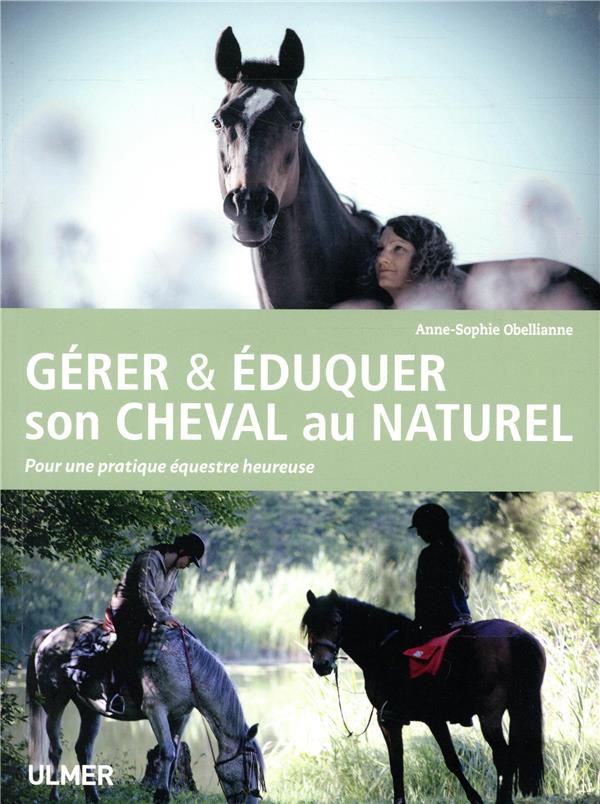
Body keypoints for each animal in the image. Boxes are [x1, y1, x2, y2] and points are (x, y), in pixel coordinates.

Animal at [27, 617, 265, 804]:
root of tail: (51, 635)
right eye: (249, 765)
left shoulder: (181, 716)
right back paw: (54, 796)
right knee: (55, 750)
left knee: (83, 749)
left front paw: (166, 793)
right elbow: (167, 751)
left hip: (89, 709)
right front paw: (161, 795)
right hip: (55, 702)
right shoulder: (155, 711)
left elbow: (174, 753)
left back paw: (93, 796)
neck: (185, 667)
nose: (252, 801)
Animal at [302, 590, 545, 804]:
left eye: (335, 622)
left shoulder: (392, 720)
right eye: (310, 625)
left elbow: (402, 765)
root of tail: (516, 635)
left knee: (504, 759)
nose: (322, 664)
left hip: (490, 715)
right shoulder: (431, 720)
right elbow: (449, 762)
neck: (384, 649)